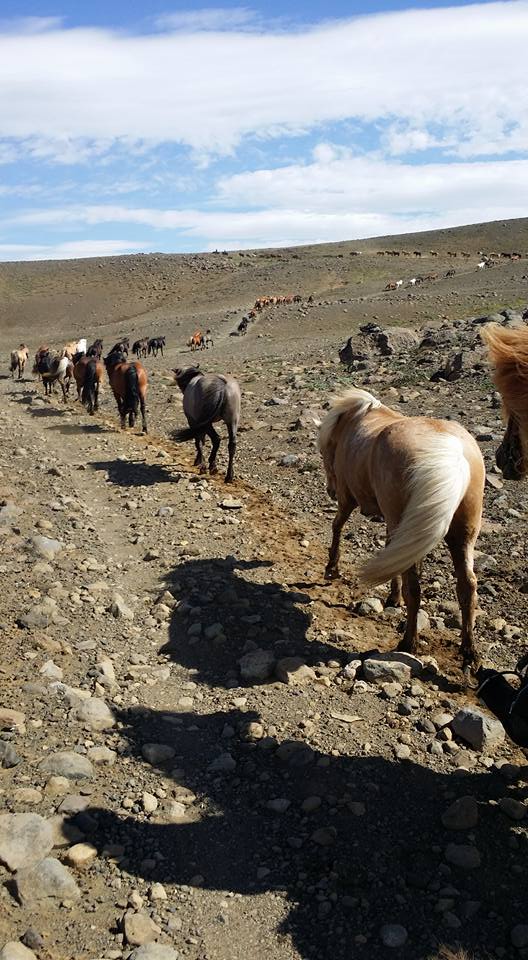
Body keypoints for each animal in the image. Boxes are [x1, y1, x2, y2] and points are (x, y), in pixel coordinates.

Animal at [318, 387, 485, 673]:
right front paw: (392, 597)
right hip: (461, 534)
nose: (330, 490)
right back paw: (469, 652)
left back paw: (409, 642)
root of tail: (451, 453)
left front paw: (332, 568)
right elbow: (390, 553)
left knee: (415, 587)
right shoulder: (397, 526)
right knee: (467, 586)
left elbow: (337, 526)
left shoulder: (349, 499)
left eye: (324, 452)